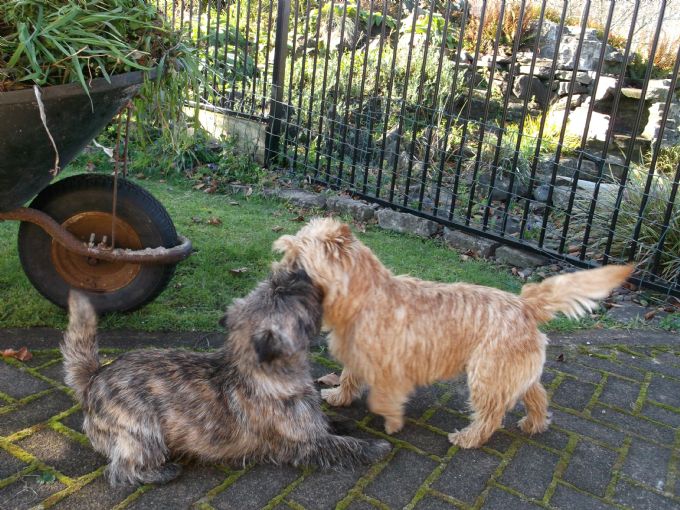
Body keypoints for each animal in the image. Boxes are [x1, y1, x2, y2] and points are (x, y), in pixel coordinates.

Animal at [60, 268, 391, 486]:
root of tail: (94, 377)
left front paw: (341, 421)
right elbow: (344, 446)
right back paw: (161, 472)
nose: (297, 269)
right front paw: (376, 448)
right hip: (142, 433)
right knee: (121, 469)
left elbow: (327, 423)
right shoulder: (303, 445)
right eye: (288, 294)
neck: (262, 371)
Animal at [273, 217, 633, 448]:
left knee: (491, 414)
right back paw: (534, 424)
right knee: (537, 395)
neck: (361, 296)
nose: (276, 280)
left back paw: (468, 438)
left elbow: (382, 396)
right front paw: (338, 396)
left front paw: (391, 421)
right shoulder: (359, 355)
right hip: (511, 371)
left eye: (297, 260)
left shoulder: (389, 366)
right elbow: (350, 377)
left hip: (486, 374)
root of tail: (525, 304)